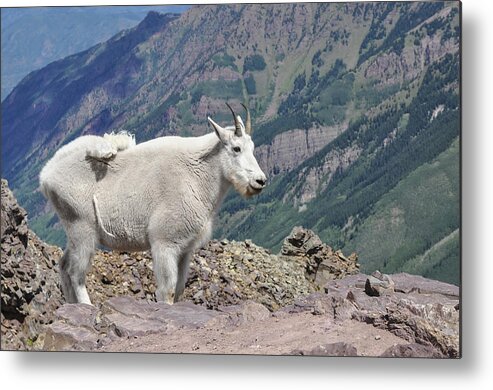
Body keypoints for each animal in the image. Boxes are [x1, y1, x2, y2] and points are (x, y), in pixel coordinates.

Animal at [40, 103, 268, 304]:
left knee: (63, 265)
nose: (260, 181)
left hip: (73, 230)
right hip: (82, 227)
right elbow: (167, 290)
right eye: (236, 148)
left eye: (253, 147)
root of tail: (46, 174)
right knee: (75, 273)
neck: (197, 173)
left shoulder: (185, 249)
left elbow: (179, 289)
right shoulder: (164, 243)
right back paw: (87, 307)